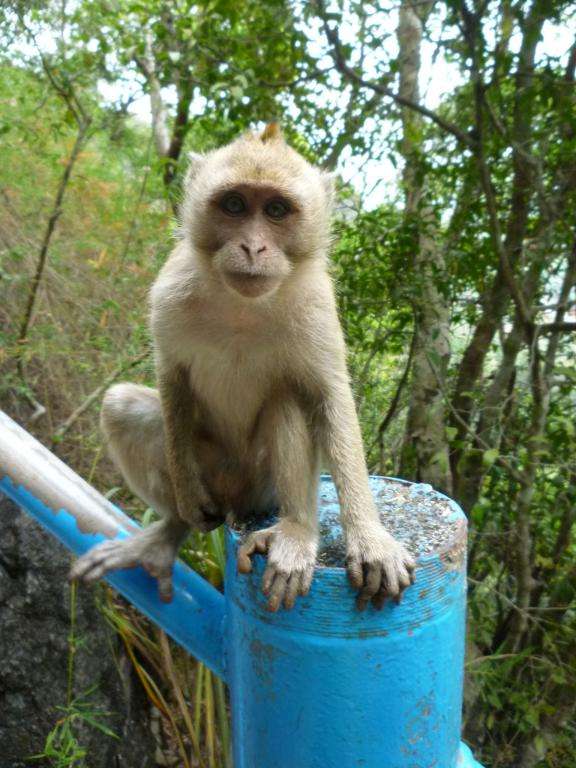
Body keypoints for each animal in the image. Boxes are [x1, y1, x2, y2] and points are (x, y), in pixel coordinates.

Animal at [70, 124, 416, 612]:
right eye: (234, 205)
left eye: (276, 210)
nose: (253, 246)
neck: (241, 306)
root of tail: (237, 506)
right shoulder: (170, 289)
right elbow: (172, 376)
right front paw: (184, 500)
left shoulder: (316, 305)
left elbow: (329, 397)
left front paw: (370, 539)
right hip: (215, 475)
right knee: (121, 407)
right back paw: (172, 530)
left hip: (260, 489)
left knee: (286, 400)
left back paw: (296, 531)